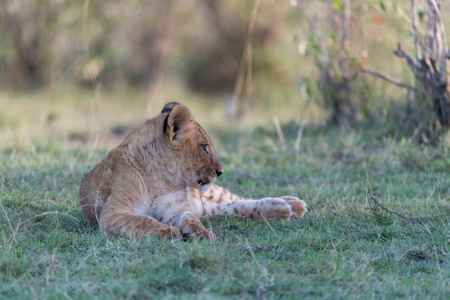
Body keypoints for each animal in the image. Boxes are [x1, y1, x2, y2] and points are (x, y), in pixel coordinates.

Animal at [79, 102, 308, 240]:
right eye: (204, 147)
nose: (220, 171)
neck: (159, 180)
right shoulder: (113, 213)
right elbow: (141, 220)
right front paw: (167, 231)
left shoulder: (175, 208)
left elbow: (190, 219)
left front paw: (202, 233)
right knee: (231, 208)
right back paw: (284, 208)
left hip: (210, 194)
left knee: (237, 200)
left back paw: (290, 204)